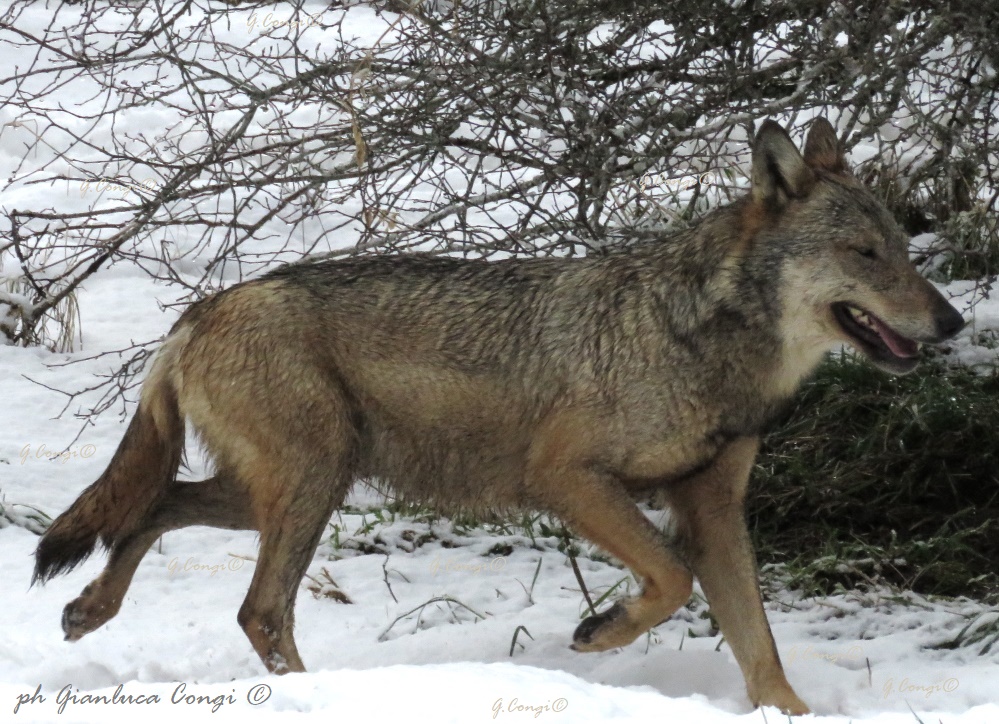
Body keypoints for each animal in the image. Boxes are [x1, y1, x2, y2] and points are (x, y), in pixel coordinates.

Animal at [33, 118, 964, 715]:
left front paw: (784, 711)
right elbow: (668, 582)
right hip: (309, 487)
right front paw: (598, 632)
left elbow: (758, 648)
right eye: (863, 254)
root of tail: (201, 309)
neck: (698, 342)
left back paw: (88, 612)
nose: (953, 322)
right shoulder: (569, 480)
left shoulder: (713, 509)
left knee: (155, 509)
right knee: (258, 608)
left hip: (277, 491)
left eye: (903, 251)